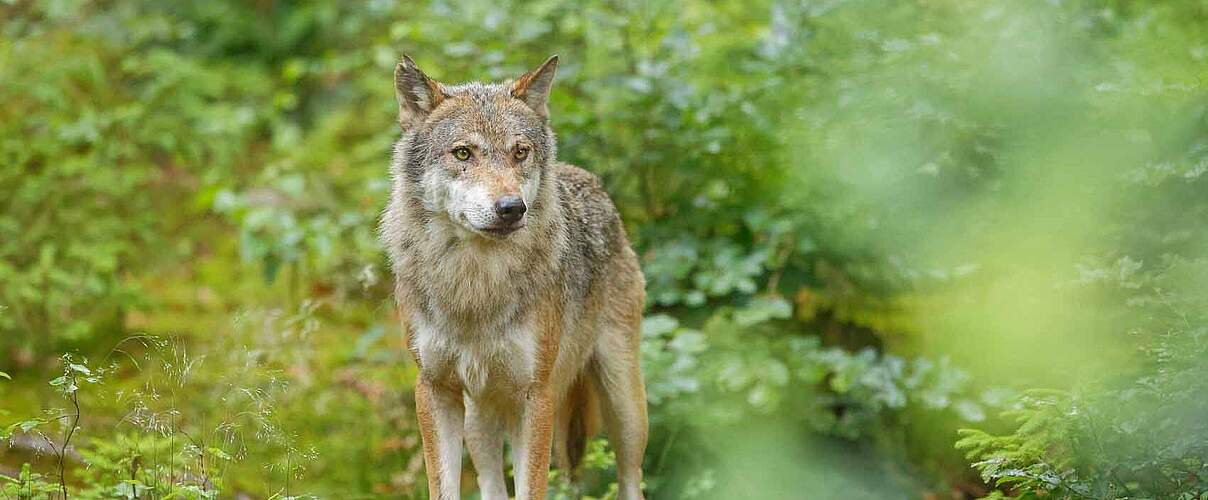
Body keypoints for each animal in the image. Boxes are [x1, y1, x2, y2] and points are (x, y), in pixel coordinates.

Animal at [379, 54, 648, 500]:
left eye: (520, 152)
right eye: (463, 153)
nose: (511, 208)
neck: (475, 287)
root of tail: (592, 182)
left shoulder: (536, 395)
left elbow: (532, 486)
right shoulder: (434, 389)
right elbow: (443, 487)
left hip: (624, 407)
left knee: (631, 480)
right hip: (479, 417)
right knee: (491, 483)